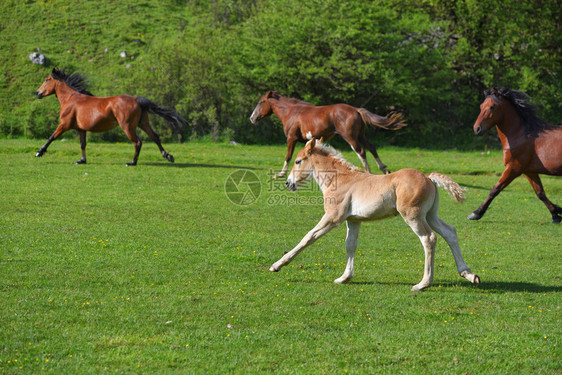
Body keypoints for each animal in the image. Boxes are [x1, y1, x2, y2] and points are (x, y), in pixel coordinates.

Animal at [35, 68, 186, 167]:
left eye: (47, 79)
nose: (37, 93)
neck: (70, 99)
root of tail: (136, 100)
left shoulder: (64, 124)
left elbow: (52, 137)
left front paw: (39, 152)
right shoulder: (81, 129)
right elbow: (83, 144)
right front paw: (82, 160)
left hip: (127, 127)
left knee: (137, 142)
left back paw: (132, 162)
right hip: (143, 124)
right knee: (155, 137)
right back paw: (168, 156)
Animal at [248, 91, 402, 179]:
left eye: (261, 102)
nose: (252, 118)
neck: (291, 113)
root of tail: (357, 110)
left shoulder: (291, 138)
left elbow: (288, 156)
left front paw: (280, 174)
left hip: (350, 137)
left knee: (361, 151)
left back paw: (369, 172)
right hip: (360, 135)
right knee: (372, 147)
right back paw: (384, 170)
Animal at [270, 138, 480, 290]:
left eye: (298, 161)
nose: (288, 183)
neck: (340, 179)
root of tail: (428, 177)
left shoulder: (333, 218)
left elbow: (308, 238)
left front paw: (277, 265)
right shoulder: (353, 220)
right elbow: (350, 245)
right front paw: (344, 277)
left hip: (413, 216)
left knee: (429, 238)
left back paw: (423, 284)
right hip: (430, 215)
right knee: (449, 232)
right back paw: (469, 274)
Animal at [466, 88, 556, 223]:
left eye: (492, 107)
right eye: (481, 106)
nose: (477, 128)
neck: (523, 135)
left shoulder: (513, 168)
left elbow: (495, 189)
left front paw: (476, 213)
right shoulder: (529, 170)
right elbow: (540, 193)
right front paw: (556, 214)